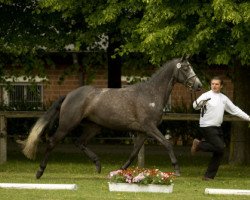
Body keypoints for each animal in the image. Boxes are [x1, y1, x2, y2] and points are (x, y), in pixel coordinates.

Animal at [20, 55, 203, 178]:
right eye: (185, 68)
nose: (198, 85)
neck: (150, 94)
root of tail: (69, 95)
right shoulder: (150, 127)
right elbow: (167, 144)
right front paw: (177, 170)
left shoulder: (143, 132)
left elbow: (134, 153)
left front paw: (120, 171)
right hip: (67, 125)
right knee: (52, 142)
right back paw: (39, 172)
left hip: (94, 127)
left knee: (79, 142)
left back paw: (98, 165)